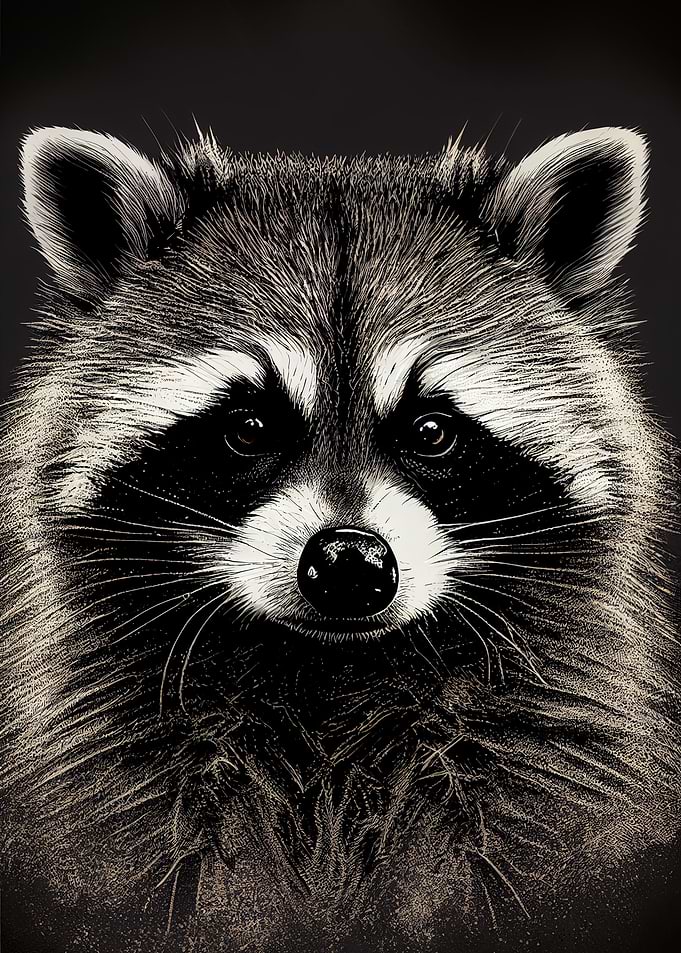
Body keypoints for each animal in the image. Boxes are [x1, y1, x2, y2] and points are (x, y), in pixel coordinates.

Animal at [0, 124, 678, 952]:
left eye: (431, 430)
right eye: (248, 426)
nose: (350, 563)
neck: (332, 671)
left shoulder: (543, 734)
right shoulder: (122, 743)